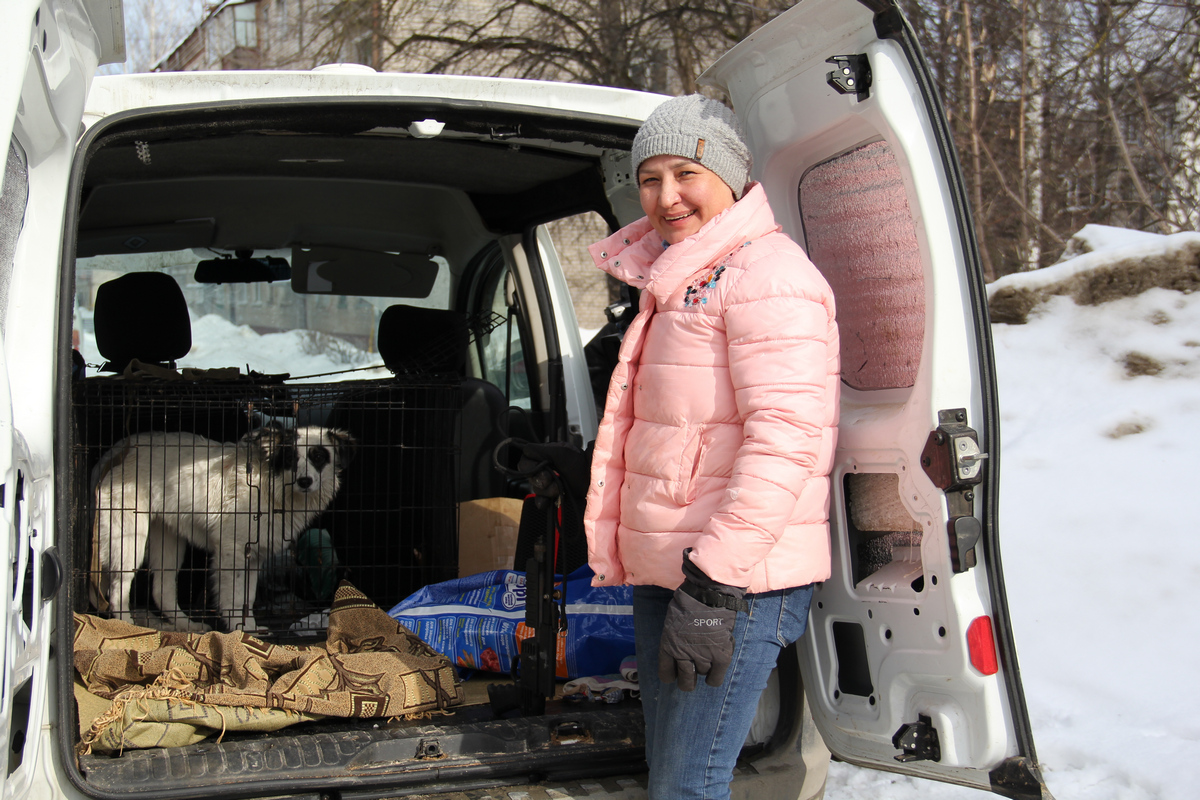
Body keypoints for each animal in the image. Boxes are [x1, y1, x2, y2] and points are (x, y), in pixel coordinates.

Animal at [93, 422, 355, 633]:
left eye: (319, 457)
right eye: (290, 457)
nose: (304, 481)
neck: (271, 487)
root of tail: (119, 449)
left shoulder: (254, 556)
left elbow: (248, 598)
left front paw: (250, 628)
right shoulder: (232, 552)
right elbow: (235, 598)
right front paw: (240, 630)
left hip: (167, 539)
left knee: (161, 589)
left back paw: (186, 625)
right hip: (129, 540)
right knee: (118, 588)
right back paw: (125, 625)